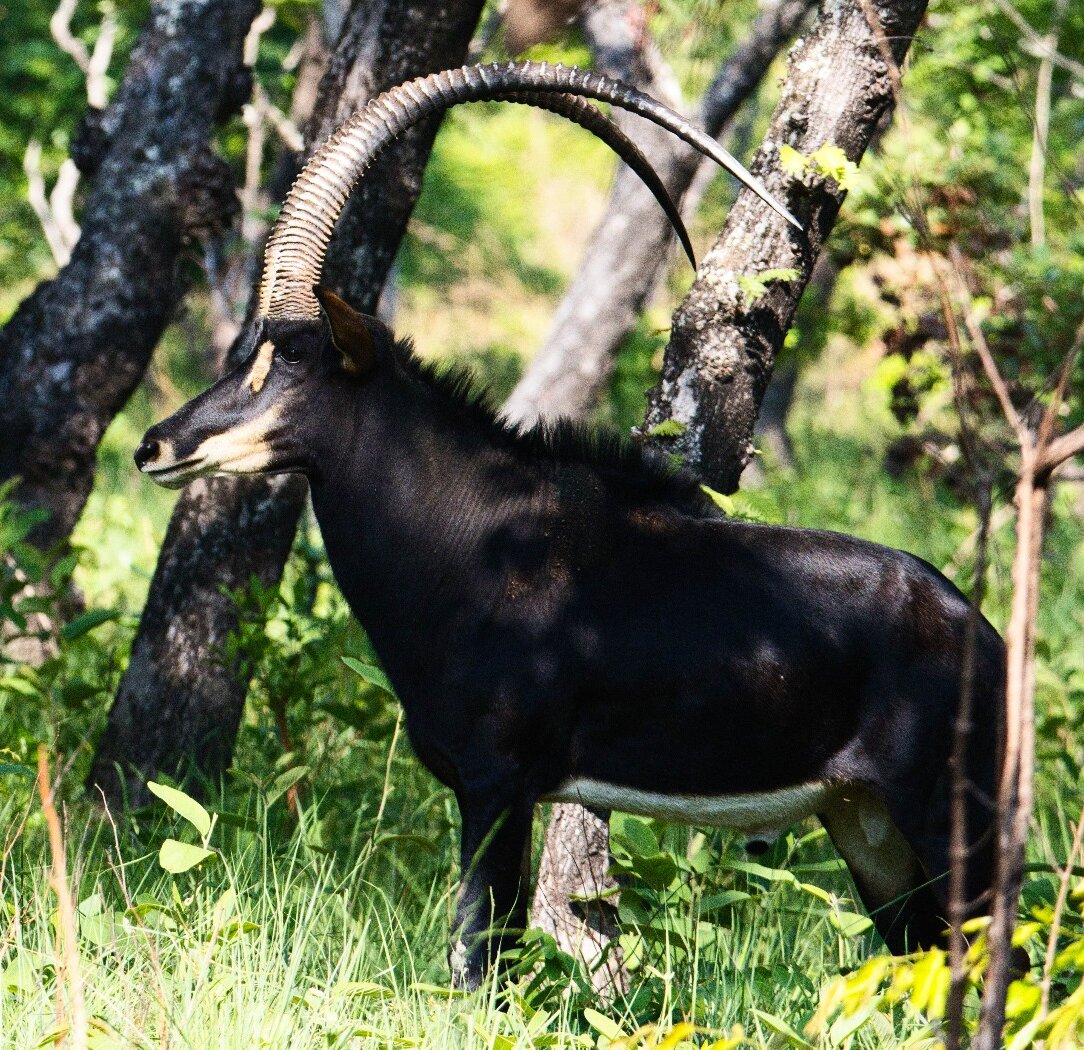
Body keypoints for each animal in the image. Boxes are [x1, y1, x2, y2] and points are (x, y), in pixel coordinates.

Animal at [134, 62, 1002, 987]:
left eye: (293, 359)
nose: (155, 446)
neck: (476, 533)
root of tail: (980, 632)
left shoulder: (498, 784)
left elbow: (480, 956)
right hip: (868, 828)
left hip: (951, 820)